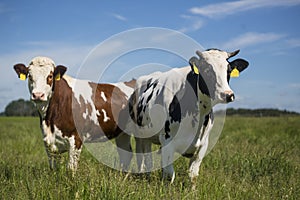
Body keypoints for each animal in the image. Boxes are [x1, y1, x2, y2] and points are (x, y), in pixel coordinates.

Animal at [127, 49, 247, 184]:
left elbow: (193, 175)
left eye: (229, 70)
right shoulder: (167, 140)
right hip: (140, 134)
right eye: (207, 70)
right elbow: (169, 175)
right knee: (144, 157)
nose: (228, 95)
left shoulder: (202, 145)